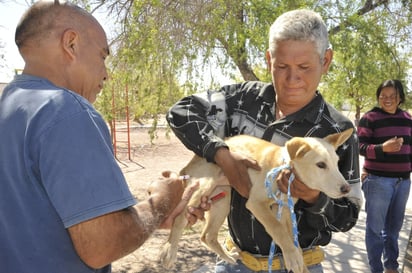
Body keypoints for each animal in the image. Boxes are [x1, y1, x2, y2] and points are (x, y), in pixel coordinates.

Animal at [161, 128, 354, 272]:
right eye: (321, 165)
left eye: (337, 163)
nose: (347, 188)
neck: (282, 166)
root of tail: (194, 159)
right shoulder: (256, 203)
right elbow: (277, 229)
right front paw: (292, 256)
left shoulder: (284, 208)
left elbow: (292, 237)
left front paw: (297, 259)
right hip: (203, 187)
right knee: (179, 219)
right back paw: (170, 252)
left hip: (223, 198)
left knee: (207, 235)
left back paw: (228, 257)